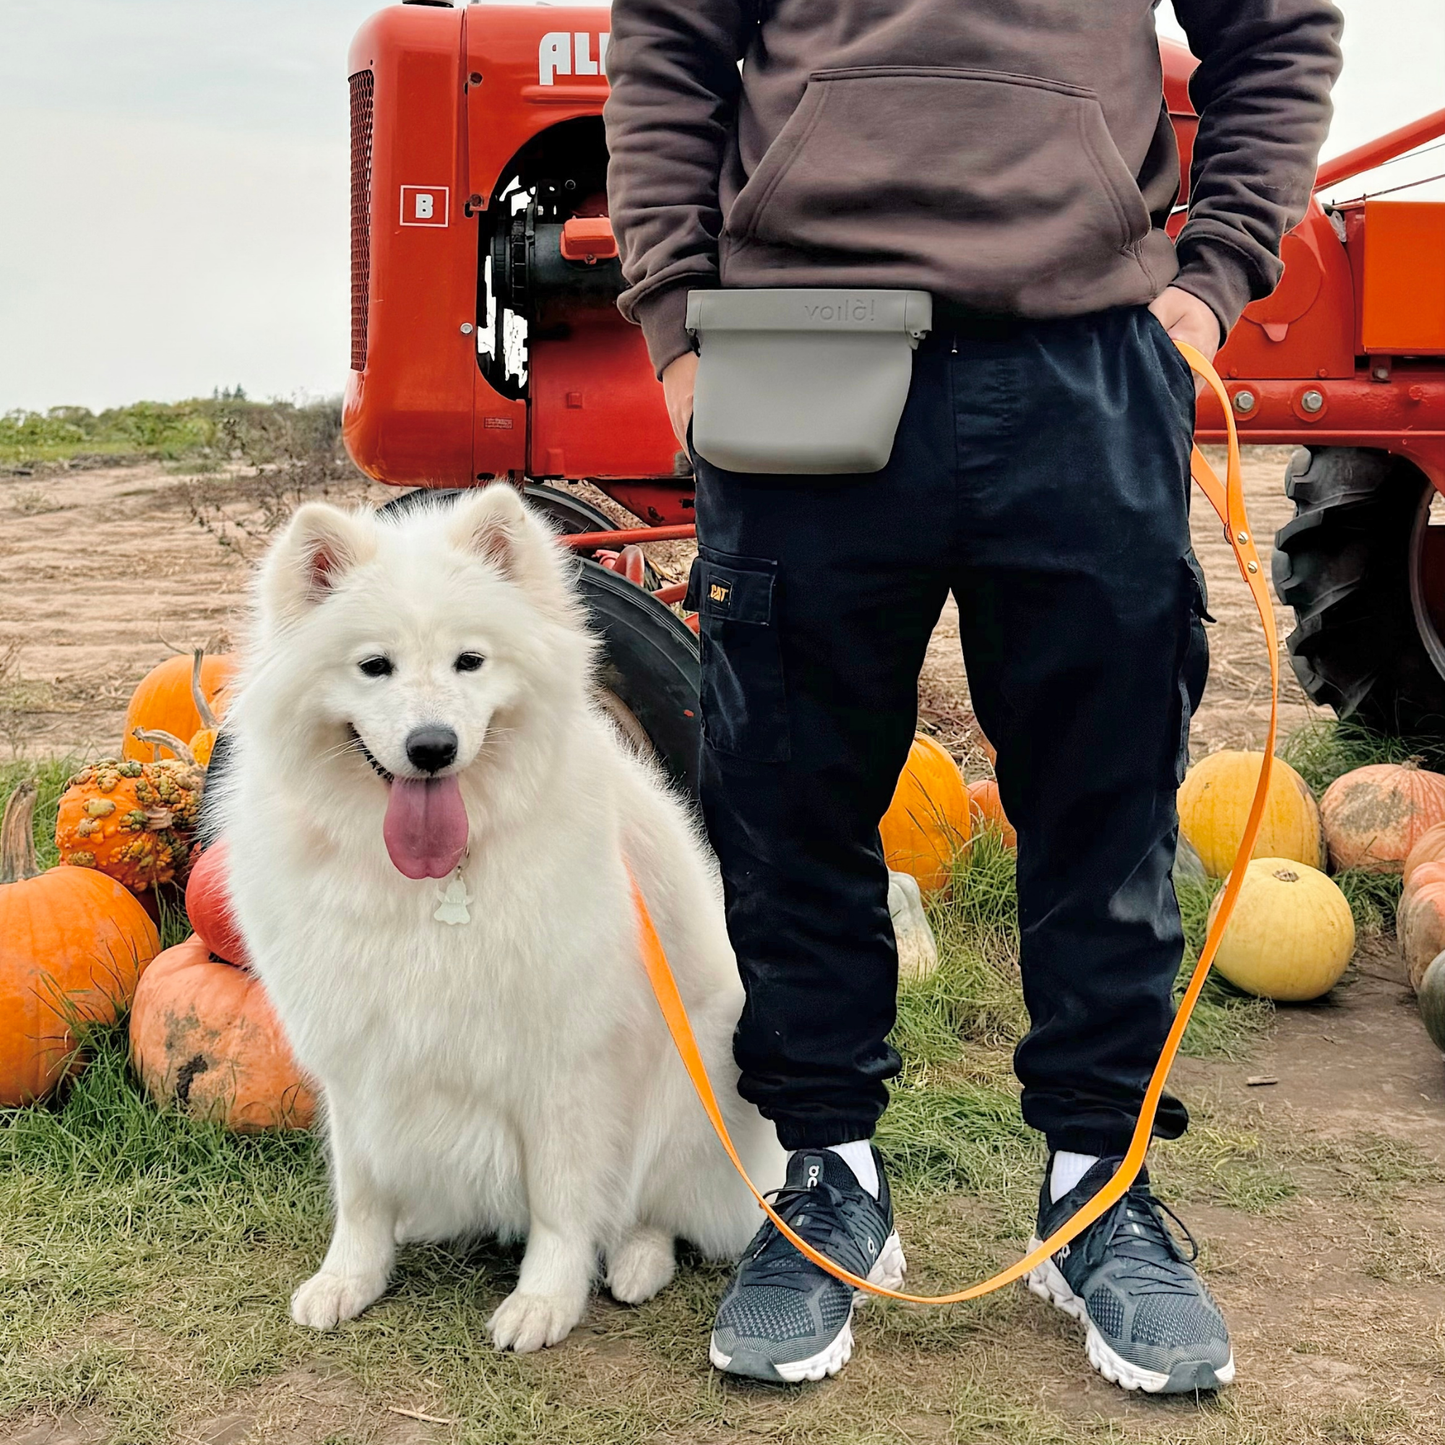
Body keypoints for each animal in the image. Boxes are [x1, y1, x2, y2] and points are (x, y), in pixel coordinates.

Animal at [215, 488, 786, 1352]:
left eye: (469, 662)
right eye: (374, 665)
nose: (431, 746)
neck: (433, 881)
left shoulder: (563, 1064)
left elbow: (561, 1199)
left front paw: (544, 1299)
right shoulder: (357, 1053)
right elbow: (360, 1189)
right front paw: (349, 1278)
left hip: (698, 1073)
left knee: (659, 1208)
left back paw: (635, 1263)